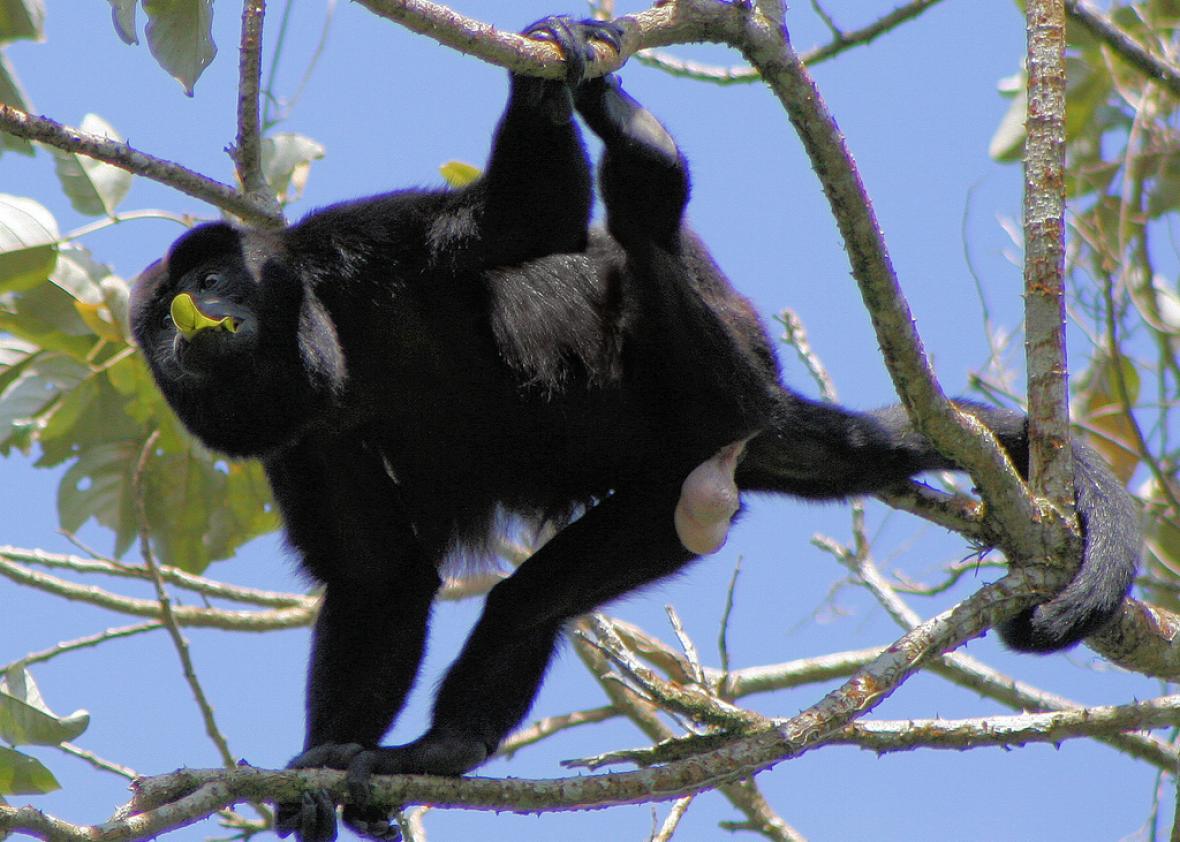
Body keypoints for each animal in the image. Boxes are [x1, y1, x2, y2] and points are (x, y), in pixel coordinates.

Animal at [131, 14, 1142, 839]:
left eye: (215, 276)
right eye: (167, 315)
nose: (195, 312)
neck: (330, 339)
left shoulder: (343, 243)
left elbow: (524, 221)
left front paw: (541, 76)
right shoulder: (303, 436)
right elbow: (378, 577)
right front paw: (313, 774)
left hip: (723, 362)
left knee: (639, 256)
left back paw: (650, 176)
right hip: (668, 505)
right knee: (527, 603)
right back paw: (442, 751)